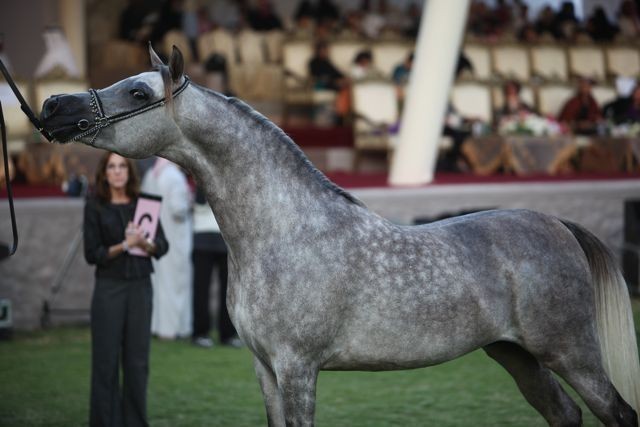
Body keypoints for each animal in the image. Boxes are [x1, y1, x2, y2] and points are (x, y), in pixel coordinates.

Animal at [40, 45, 640, 426]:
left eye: (139, 91)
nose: (53, 106)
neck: (285, 233)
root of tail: (557, 224)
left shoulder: (298, 368)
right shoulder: (265, 368)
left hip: (571, 352)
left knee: (617, 412)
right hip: (516, 355)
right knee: (565, 414)